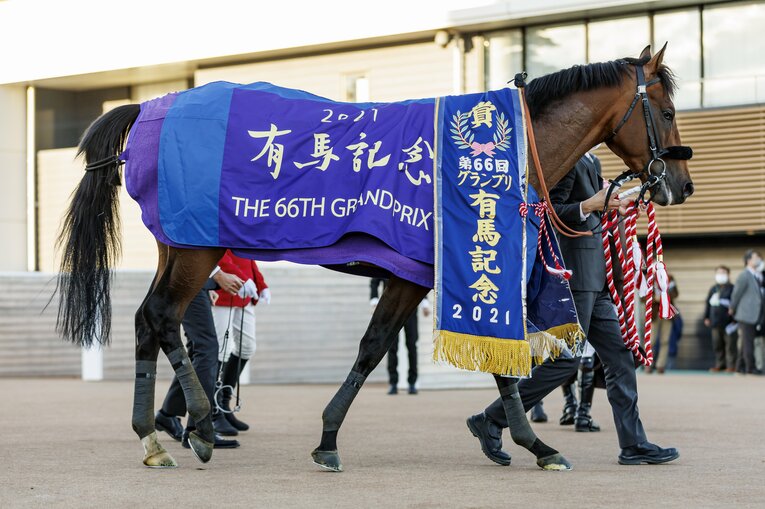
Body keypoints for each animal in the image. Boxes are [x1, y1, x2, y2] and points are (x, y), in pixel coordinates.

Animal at [56, 44, 693, 471]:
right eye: (665, 111)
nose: (679, 185)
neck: (497, 154)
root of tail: (151, 109)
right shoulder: (430, 271)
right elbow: (388, 349)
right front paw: (533, 444)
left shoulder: (442, 270)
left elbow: (447, 354)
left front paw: (517, 442)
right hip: (196, 248)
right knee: (165, 317)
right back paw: (202, 427)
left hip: (177, 246)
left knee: (147, 320)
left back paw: (153, 437)